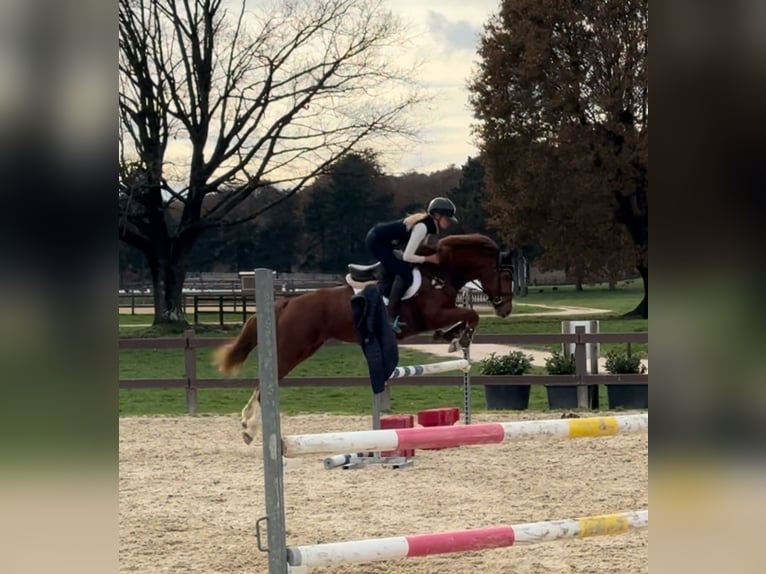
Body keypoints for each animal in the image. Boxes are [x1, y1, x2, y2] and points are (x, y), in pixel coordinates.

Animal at [213, 233, 514, 444]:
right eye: (506, 275)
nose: (506, 310)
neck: (440, 272)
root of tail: (287, 302)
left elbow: (467, 317)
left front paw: (452, 337)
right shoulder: (433, 315)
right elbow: (471, 315)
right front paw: (458, 338)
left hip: (304, 347)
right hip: (292, 348)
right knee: (265, 386)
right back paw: (249, 428)